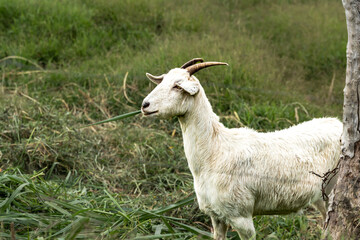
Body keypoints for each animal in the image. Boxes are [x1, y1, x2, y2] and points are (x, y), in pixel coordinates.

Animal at [141, 58, 344, 240]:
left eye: (177, 86)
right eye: (163, 80)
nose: (145, 105)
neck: (214, 151)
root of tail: (339, 123)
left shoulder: (241, 216)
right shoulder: (216, 216)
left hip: (332, 187)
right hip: (320, 197)